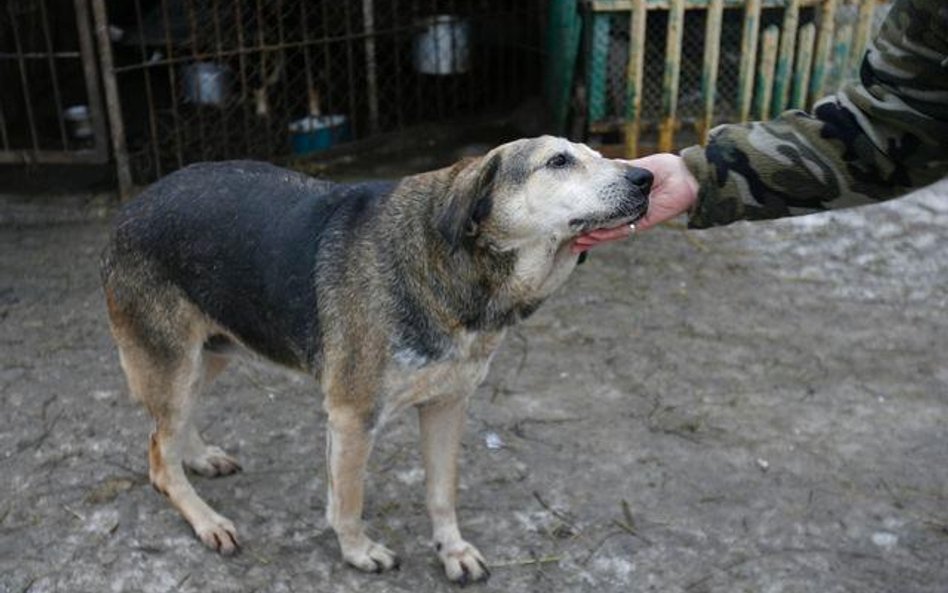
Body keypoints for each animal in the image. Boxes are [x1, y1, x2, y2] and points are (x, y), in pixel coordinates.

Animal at [103, 135, 652, 584]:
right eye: (558, 161)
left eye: (599, 154)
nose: (646, 178)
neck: (452, 267)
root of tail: (131, 207)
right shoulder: (352, 417)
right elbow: (348, 500)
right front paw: (358, 552)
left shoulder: (448, 406)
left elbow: (441, 492)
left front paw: (452, 551)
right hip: (173, 361)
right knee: (158, 457)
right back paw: (207, 520)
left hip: (211, 351)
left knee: (167, 432)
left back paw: (198, 456)